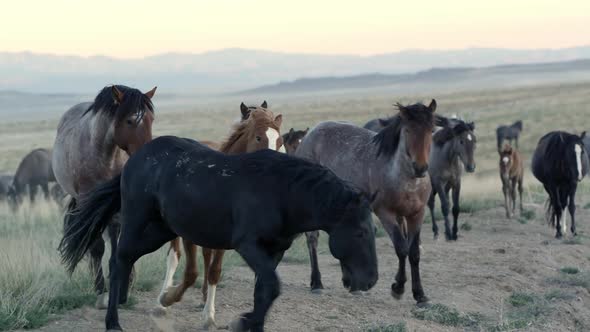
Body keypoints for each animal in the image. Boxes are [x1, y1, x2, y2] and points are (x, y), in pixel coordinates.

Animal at [52, 84, 157, 308]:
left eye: (151, 119)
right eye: (130, 121)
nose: (149, 155)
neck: (105, 155)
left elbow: (118, 242)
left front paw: (124, 285)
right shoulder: (87, 202)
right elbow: (97, 247)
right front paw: (101, 292)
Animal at [57, 136, 376, 332]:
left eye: (373, 230)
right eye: (361, 232)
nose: (370, 281)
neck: (281, 191)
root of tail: (133, 161)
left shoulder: (274, 251)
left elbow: (264, 290)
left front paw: (250, 323)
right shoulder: (248, 245)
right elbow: (272, 286)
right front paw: (243, 322)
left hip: (161, 231)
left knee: (125, 259)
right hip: (137, 222)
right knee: (118, 260)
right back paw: (113, 321)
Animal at [157, 107, 286, 330]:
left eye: (279, 140)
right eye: (258, 137)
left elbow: (214, 272)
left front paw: (208, 316)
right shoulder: (188, 235)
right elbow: (191, 273)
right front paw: (168, 298)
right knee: (173, 257)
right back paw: (162, 302)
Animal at [296, 100, 440, 304]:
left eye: (431, 130)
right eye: (408, 130)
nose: (420, 168)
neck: (405, 179)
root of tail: (309, 136)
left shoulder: (416, 215)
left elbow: (414, 253)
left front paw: (420, 295)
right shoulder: (386, 213)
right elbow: (401, 248)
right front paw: (398, 288)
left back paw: (350, 284)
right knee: (312, 239)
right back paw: (317, 284)